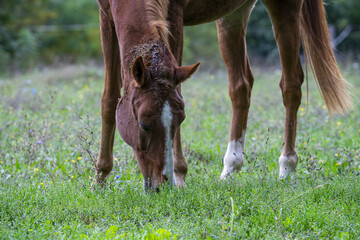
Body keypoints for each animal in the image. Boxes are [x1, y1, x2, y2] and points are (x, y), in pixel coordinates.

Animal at [95, 0, 352, 190]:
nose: (163, 185)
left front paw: (180, 174)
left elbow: (178, 89)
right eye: (143, 125)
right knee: (241, 86)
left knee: (291, 85)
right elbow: (109, 98)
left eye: (180, 121)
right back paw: (231, 166)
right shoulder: (106, 16)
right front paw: (100, 177)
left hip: (284, 7)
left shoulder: (173, 15)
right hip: (232, 16)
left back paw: (287, 166)